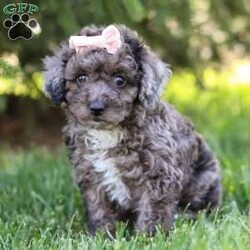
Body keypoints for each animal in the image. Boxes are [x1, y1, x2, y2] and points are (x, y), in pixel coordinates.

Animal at [42, 24, 221, 235]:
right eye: (81, 78)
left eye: (120, 80)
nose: (96, 107)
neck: (108, 132)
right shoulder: (91, 176)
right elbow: (98, 208)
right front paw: (101, 234)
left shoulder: (158, 173)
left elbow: (153, 209)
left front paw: (148, 236)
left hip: (203, 179)